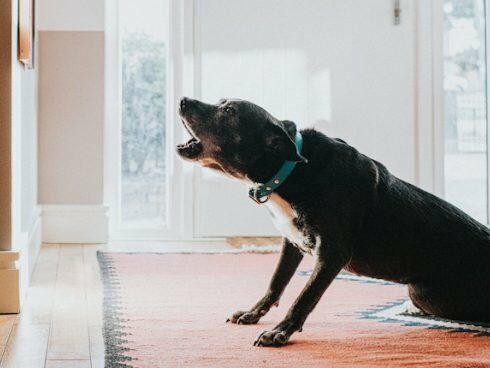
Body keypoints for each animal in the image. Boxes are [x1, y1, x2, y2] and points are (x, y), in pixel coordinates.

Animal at [177, 96, 490, 346]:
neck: (290, 170)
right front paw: (254, 313)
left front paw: (280, 332)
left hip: (423, 293)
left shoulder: (331, 254)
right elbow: (276, 282)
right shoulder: (291, 242)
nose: (182, 100)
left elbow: (304, 297)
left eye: (229, 110)